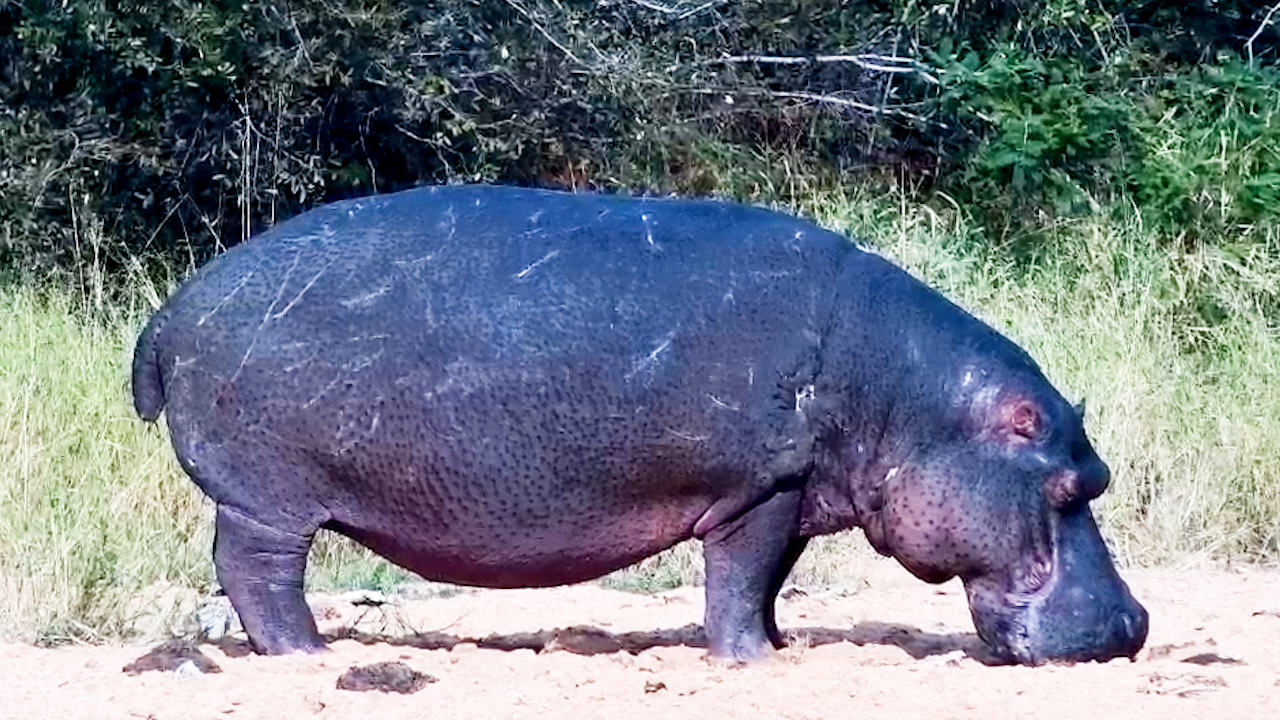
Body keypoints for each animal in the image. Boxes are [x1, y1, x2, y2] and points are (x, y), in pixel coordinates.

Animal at [132, 185, 1148, 665]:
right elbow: (742, 578)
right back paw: (307, 655)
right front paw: (750, 663)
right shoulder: (759, 489)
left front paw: (780, 651)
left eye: (1100, 477)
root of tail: (172, 309)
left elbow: (771, 582)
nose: (1134, 623)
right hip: (269, 499)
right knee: (259, 573)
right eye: (1072, 484)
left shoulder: (792, 489)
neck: (910, 398)